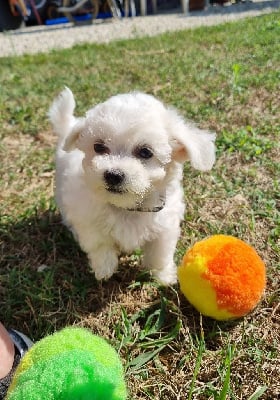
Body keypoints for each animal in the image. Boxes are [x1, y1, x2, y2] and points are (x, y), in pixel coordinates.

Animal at [49, 89, 217, 286]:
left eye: (145, 152)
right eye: (98, 147)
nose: (113, 175)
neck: (127, 207)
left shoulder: (164, 227)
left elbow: (160, 253)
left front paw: (163, 277)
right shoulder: (87, 217)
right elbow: (99, 244)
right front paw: (104, 269)